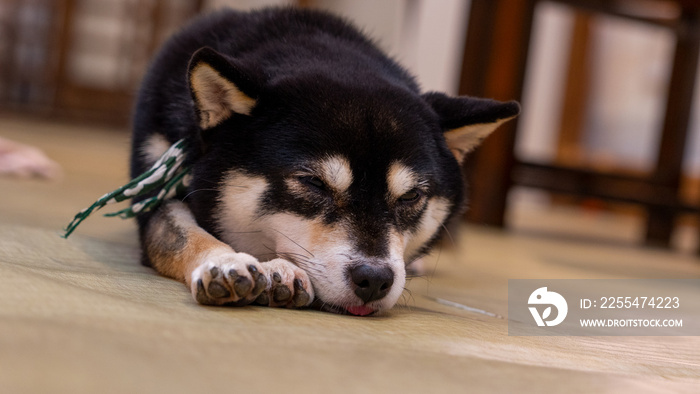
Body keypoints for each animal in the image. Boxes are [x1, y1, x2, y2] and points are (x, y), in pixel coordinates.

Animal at [131, 6, 516, 318]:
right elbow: (179, 234)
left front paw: (277, 269)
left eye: (410, 197)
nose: (374, 279)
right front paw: (224, 261)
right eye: (314, 183)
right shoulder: (155, 187)